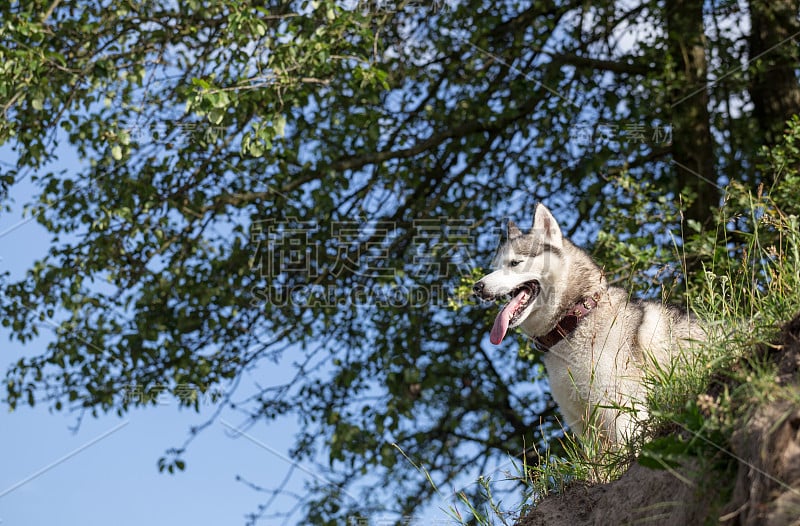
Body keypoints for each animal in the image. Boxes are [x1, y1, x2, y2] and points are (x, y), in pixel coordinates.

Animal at [472, 204, 704, 444]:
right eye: (495, 266)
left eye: (515, 263)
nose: (477, 287)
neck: (576, 320)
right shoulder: (586, 430)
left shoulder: (626, 415)